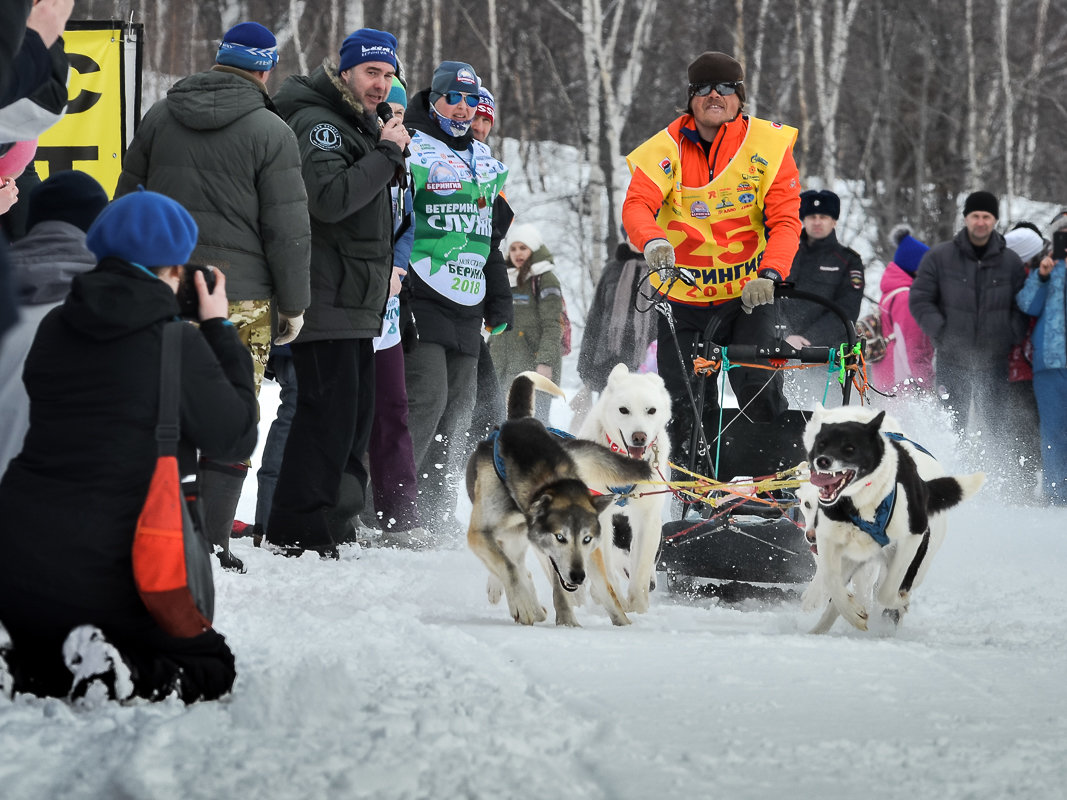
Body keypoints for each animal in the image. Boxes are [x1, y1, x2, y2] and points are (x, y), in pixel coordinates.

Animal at [465, 373, 648, 631]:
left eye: (586, 538)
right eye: (560, 537)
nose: (578, 576)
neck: (548, 477)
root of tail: (520, 419)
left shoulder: (577, 554)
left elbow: (591, 590)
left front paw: (572, 622)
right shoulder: (479, 533)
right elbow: (508, 567)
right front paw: (523, 604)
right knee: (510, 563)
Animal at [580, 362, 670, 614]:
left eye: (651, 410)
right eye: (624, 410)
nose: (639, 437)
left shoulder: (648, 518)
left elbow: (640, 570)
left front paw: (638, 605)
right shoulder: (600, 518)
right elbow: (607, 572)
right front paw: (616, 601)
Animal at [802, 403, 981, 635]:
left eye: (849, 447)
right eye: (820, 441)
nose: (822, 461)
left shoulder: (909, 543)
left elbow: (886, 593)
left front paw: (896, 604)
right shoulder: (831, 542)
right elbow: (832, 581)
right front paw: (839, 608)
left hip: (915, 564)